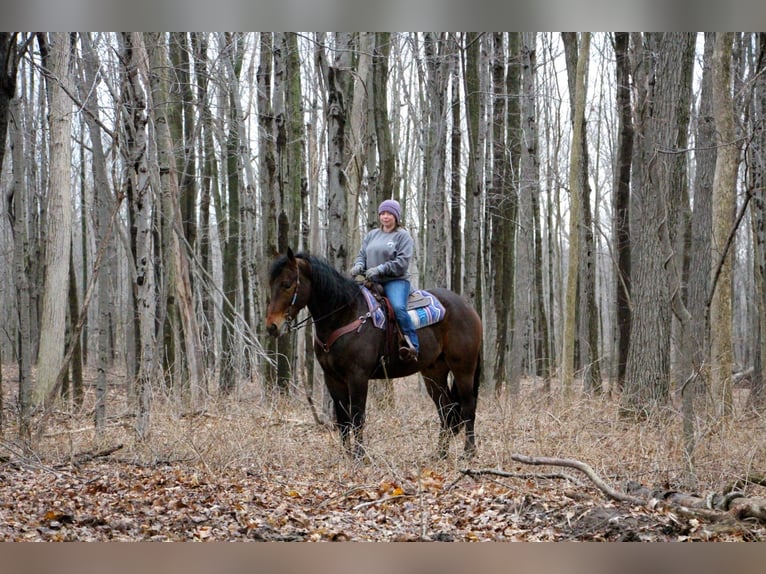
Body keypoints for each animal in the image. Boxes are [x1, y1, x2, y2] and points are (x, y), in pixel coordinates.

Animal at [264, 250, 480, 462]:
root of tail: (468, 308)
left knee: (467, 407)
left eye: (287, 284)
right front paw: (346, 456)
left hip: (463, 369)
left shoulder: (358, 377)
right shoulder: (332, 378)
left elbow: (358, 417)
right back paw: (440, 454)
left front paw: (359, 456)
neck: (345, 315)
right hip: (434, 372)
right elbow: (343, 419)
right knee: (446, 409)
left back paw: (468, 453)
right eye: (271, 284)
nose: (272, 326)